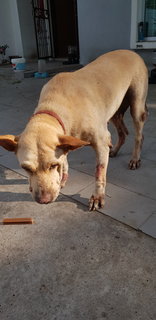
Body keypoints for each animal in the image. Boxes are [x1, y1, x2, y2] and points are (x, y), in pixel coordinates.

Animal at [0, 50, 149, 210]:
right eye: (25, 168)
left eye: (53, 165)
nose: (44, 200)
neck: (54, 106)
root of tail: (131, 52)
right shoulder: (64, 138)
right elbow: (65, 159)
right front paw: (63, 178)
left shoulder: (100, 143)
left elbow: (99, 172)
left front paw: (97, 196)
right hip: (114, 111)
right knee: (123, 132)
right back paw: (114, 150)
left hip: (136, 106)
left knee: (139, 135)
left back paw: (135, 158)